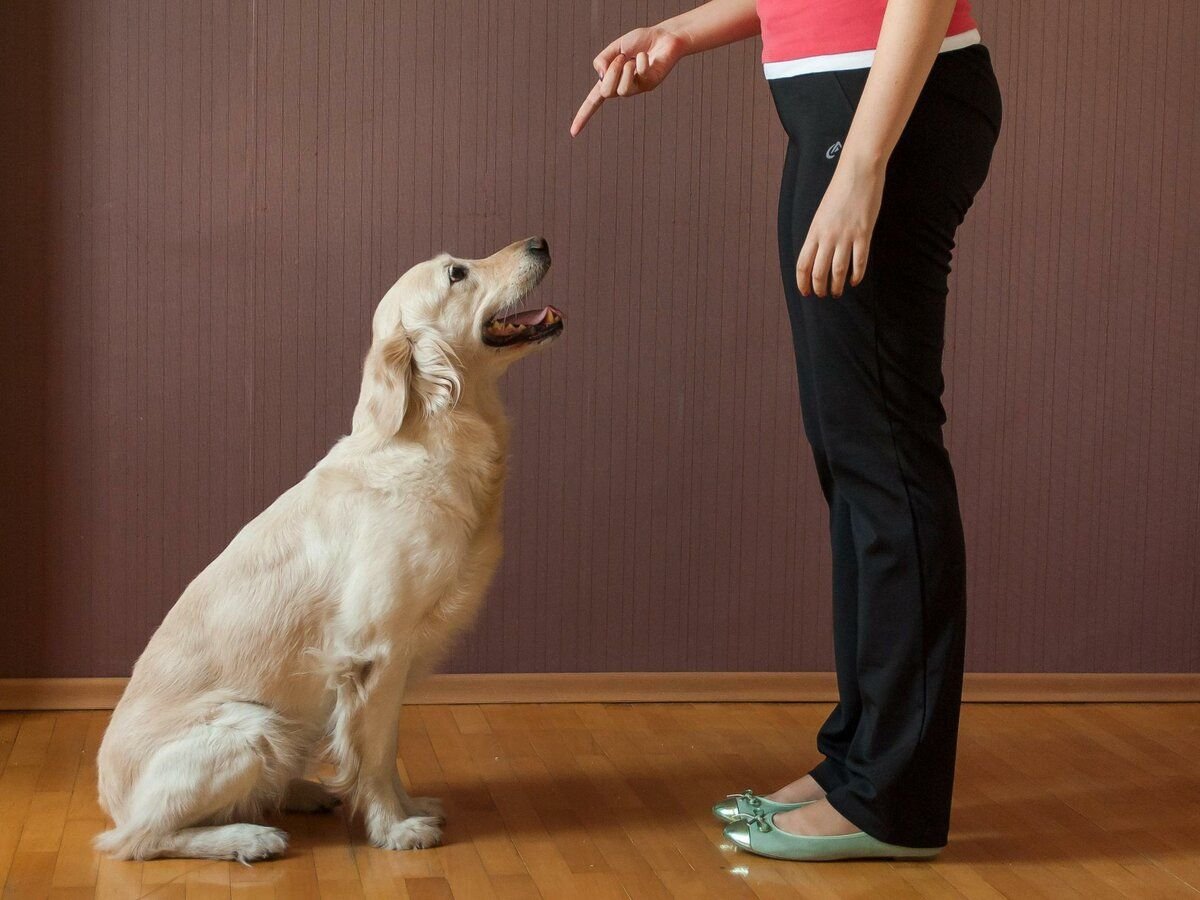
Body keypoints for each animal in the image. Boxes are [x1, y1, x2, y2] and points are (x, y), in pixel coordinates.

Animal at [94, 236, 561, 864]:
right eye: (457, 274)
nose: (540, 242)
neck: (433, 436)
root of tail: (110, 797)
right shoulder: (374, 652)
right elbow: (375, 755)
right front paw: (394, 829)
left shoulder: (395, 659)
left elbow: (385, 750)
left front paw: (408, 808)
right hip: (251, 729)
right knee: (140, 839)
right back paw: (249, 836)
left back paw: (300, 792)